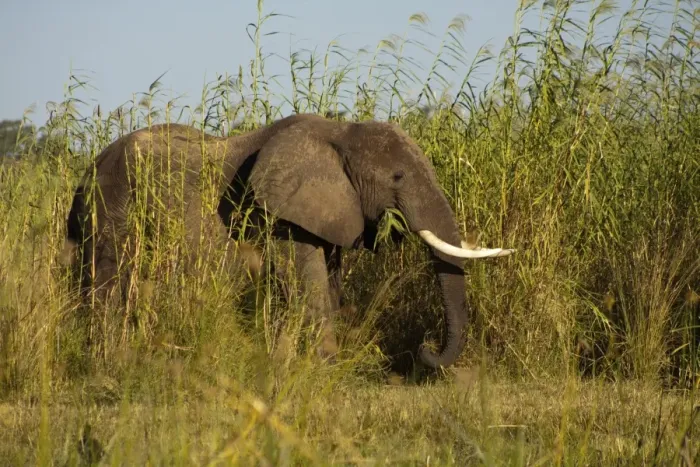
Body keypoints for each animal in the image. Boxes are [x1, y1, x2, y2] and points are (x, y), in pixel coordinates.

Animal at [63, 113, 514, 369]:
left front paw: (296, 360)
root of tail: (88, 168)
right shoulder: (280, 214)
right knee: (110, 277)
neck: (340, 135)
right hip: (112, 204)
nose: (425, 349)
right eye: (398, 177)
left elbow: (325, 280)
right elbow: (307, 279)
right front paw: (327, 364)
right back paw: (111, 362)